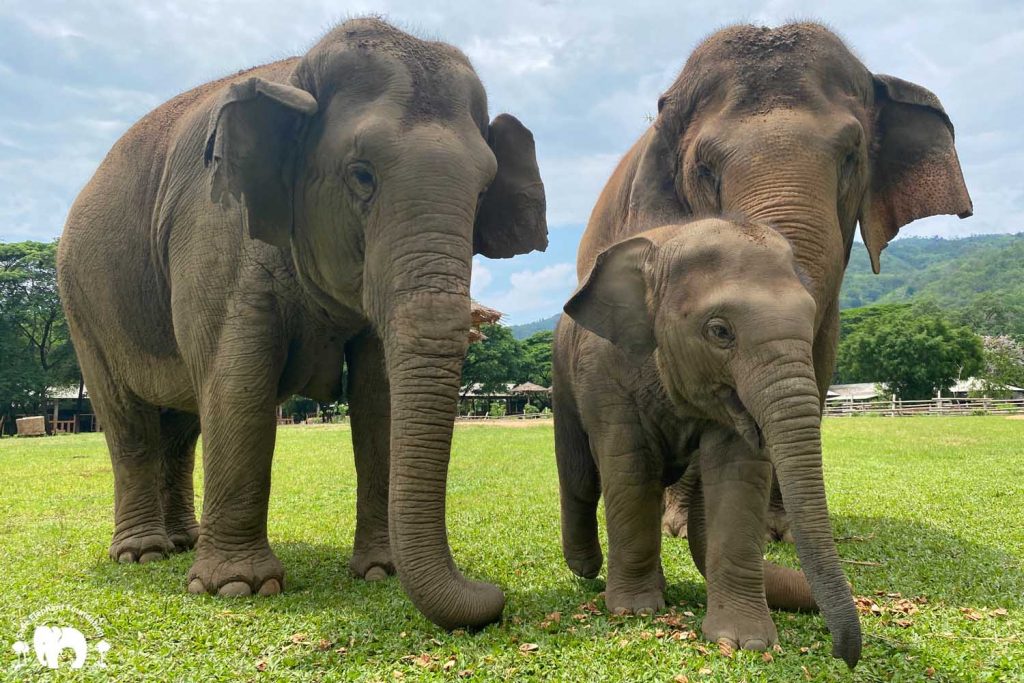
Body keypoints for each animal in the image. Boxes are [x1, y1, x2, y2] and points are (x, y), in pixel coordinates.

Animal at [58, 17, 548, 630]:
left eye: (483, 192)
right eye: (361, 175)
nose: (494, 595)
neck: (297, 77)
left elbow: (378, 396)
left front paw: (381, 572)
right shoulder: (216, 232)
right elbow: (237, 384)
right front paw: (238, 588)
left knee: (183, 425)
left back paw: (183, 541)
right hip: (84, 304)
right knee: (130, 423)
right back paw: (143, 554)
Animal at [557, 219, 860, 667]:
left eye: (811, 324)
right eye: (720, 332)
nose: (845, 655)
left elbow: (737, 475)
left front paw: (747, 642)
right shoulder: (605, 370)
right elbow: (630, 468)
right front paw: (635, 610)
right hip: (563, 378)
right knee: (580, 475)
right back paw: (587, 567)